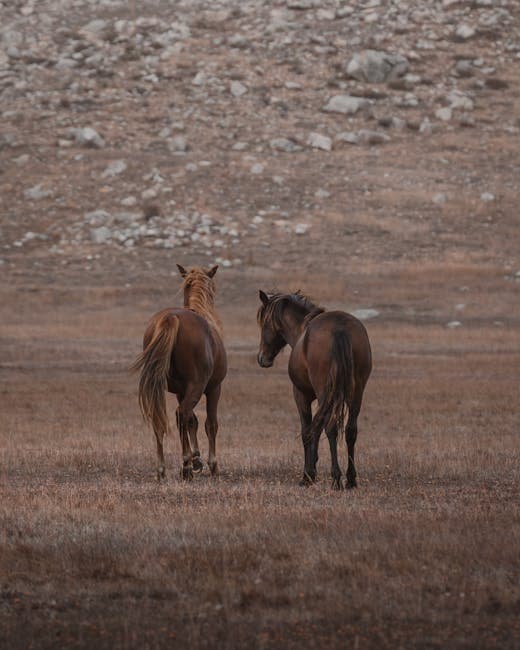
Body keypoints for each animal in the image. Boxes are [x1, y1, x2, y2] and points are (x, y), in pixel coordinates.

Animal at [131, 260, 226, 478]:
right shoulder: (213, 389)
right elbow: (210, 424)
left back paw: (162, 468)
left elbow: (193, 421)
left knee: (162, 419)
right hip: (198, 386)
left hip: (161, 388)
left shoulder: (180, 391)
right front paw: (211, 464)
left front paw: (196, 457)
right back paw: (186, 467)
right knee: (181, 414)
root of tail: (171, 318)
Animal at [255, 288, 370, 486]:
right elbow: (316, 429)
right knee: (350, 431)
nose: (262, 358)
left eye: (265, 323)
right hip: (355, 394)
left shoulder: (301, 395)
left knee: (330, 428)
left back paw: (336, 477)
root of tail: (340, 329)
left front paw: (308, 474)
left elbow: (307, 431)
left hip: (327, 393)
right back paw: (351, 479)